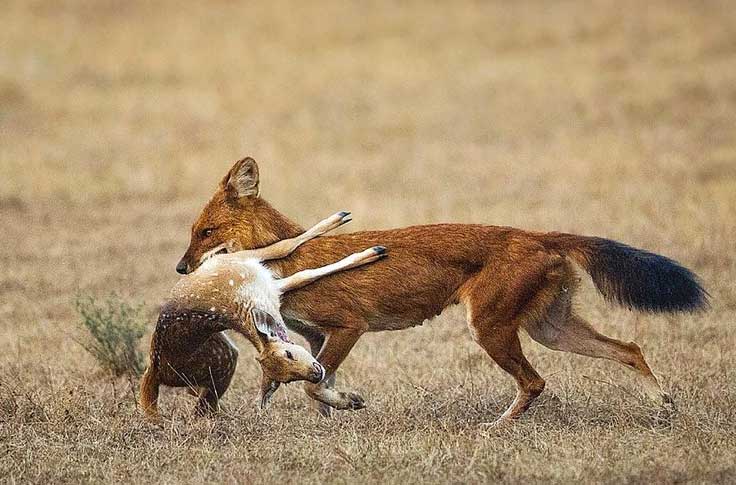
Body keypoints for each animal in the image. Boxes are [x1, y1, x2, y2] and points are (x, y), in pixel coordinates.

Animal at [174, 158, 708, 420]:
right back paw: (664, 406)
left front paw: (343, 406)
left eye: (205, 232)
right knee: (630, 348)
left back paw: (495, 430)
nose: (181, 268)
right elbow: (313, 385)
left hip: (488, 327)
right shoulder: (314, 338)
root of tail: (536, 234)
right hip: (550, 330)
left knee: (535, 382)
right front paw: (333, 418)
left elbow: (311, 386)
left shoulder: (349, 326)